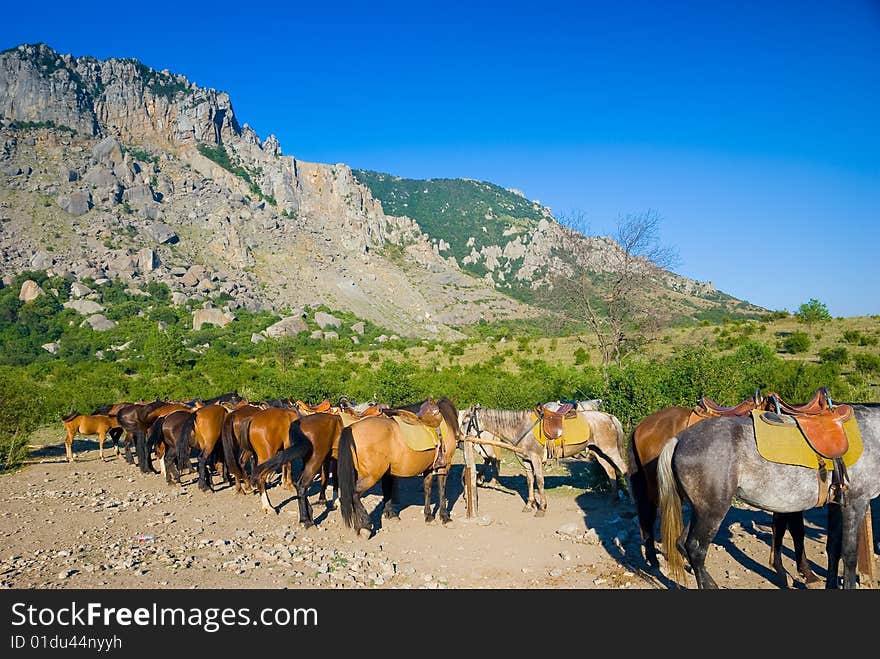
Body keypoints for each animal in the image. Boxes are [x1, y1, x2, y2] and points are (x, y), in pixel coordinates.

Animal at [628, 400, 820, 584]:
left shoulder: (787, 500)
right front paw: (806, 574)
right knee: (651, 521)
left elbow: (785, 529)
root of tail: (641, 426)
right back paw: (656, 561)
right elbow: (796, 531)